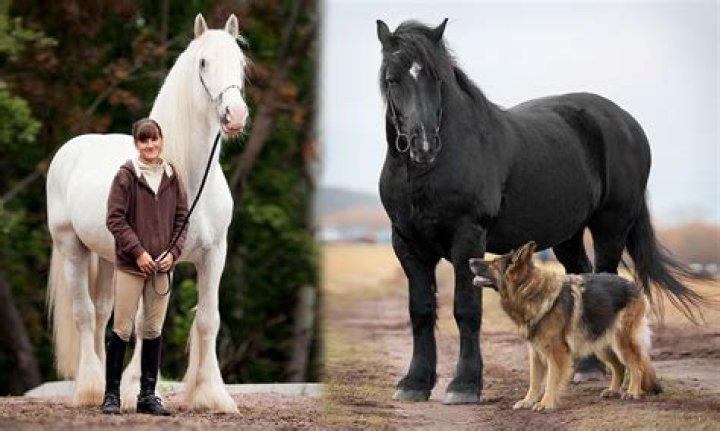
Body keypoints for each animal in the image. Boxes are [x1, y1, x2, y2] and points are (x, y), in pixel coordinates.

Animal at [46, 14, 248, 413]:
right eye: (203, 63)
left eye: (239, 62)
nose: (235, 115)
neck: (188, 177)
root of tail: (69, 150)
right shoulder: (152, 258)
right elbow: (142, 322)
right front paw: (134, 388)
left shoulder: (214, 254)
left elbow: (208, 320)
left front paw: (212, 395)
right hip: (72, 249)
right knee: (84, 313)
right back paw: (90, 388)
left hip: (109, 259)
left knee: (102, 314)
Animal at [376, 19, 705, 404]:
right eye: (392, 78)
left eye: (437, 78)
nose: (424, 146)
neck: (426, 173)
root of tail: (627, 123)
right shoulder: (406, 243)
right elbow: (421, 311)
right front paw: (414, 383)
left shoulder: (467, 238)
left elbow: (466, 309)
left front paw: (464, 385)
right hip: (569, 236)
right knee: (582, 274)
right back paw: (587, 367)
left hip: (611, 226)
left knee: (604, 277)